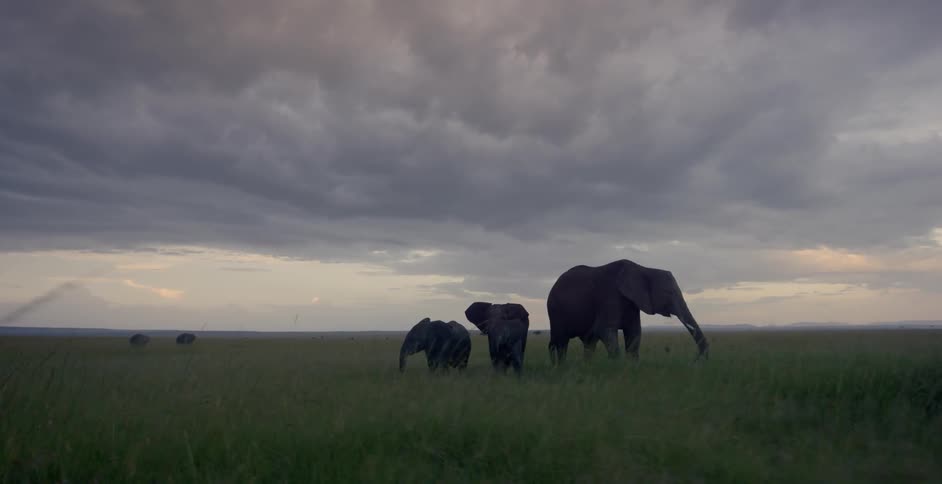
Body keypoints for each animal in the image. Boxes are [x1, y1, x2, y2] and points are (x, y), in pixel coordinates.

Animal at [546, 259, 709, 364]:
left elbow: (634, 333)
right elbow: (605, 330)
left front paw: (631, 367)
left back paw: (586, 366)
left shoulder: (632, 303)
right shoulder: (609, 296)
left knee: (589, 342)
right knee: (561, 342)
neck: (643, 269)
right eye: (668, 292)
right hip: (555, 311)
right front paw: (616, 367)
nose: (696, 360)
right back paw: (560, 367)